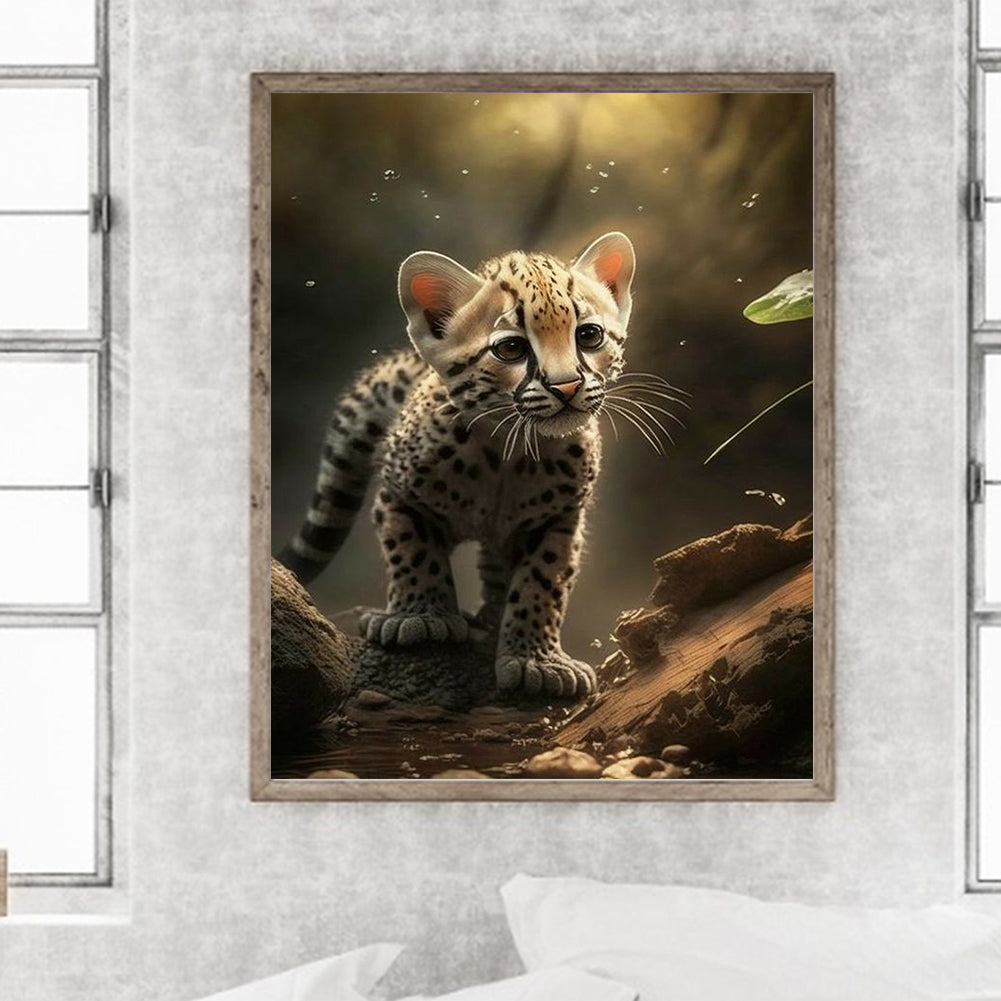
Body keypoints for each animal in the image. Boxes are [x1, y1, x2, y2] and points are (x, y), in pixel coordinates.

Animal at [279, 231, 684, 699]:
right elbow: (414, 552)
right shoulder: (399, 496)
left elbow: (543, 581)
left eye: (589, 335)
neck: (509, 452)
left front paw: (536, 659)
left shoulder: (561, 519)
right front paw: (420, 616)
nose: (567, 386)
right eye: (510, 348)